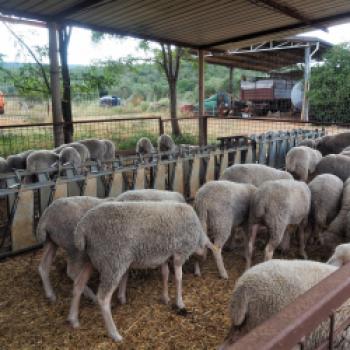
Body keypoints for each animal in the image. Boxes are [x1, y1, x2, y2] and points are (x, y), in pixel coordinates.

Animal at [69, 201, 209, 340]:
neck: (198, 236)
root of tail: (82, 228)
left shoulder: (164, 255)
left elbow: (165, 274)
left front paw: (165, 297)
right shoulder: (180, 252)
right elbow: (178, 277)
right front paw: (180, 302)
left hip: (89, 259)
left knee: (78, 285)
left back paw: (73, 319)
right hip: (112, 261)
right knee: (103, 298)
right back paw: (114, 334)